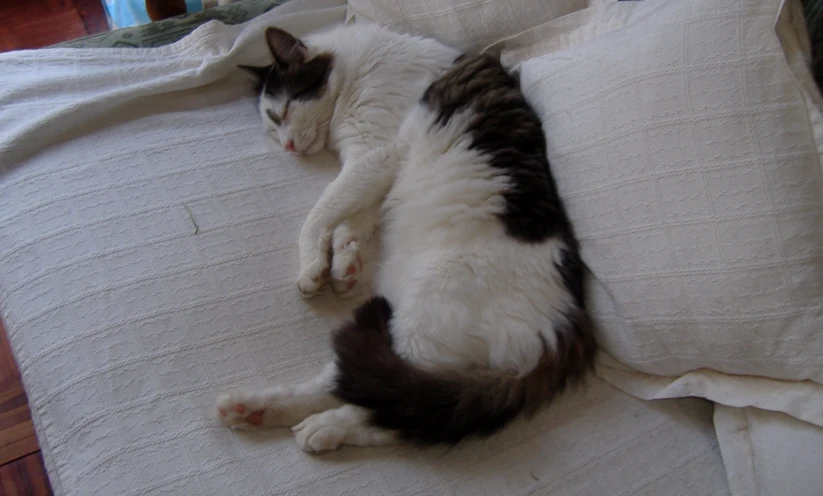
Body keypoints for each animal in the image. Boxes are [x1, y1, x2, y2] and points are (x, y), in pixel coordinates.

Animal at [216, 26, 596, 454]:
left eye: (280, 113)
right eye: (272, 125)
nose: (288, 147)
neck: (357, 67)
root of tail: (571, 326)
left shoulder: (375, 152)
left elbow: (321, 213)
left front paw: (313, 266)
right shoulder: (374, 169)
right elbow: (352, 221)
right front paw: (345, 267)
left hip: (423, 318)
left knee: (393, 410)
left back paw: (322, 428)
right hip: (401, 323)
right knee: (359, 387)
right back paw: (253, 409)